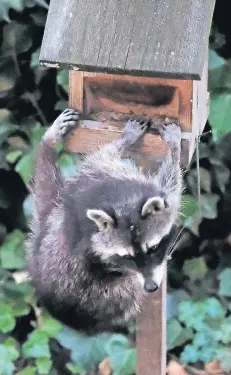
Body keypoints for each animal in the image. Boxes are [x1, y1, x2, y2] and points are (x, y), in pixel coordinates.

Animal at [26, 108, 182, 334]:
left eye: (152, 248)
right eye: (126, 256)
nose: (151, 287)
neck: (123, 203)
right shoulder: (100, 175)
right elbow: (172, 191)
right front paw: (171, 148)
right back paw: (47, 145)